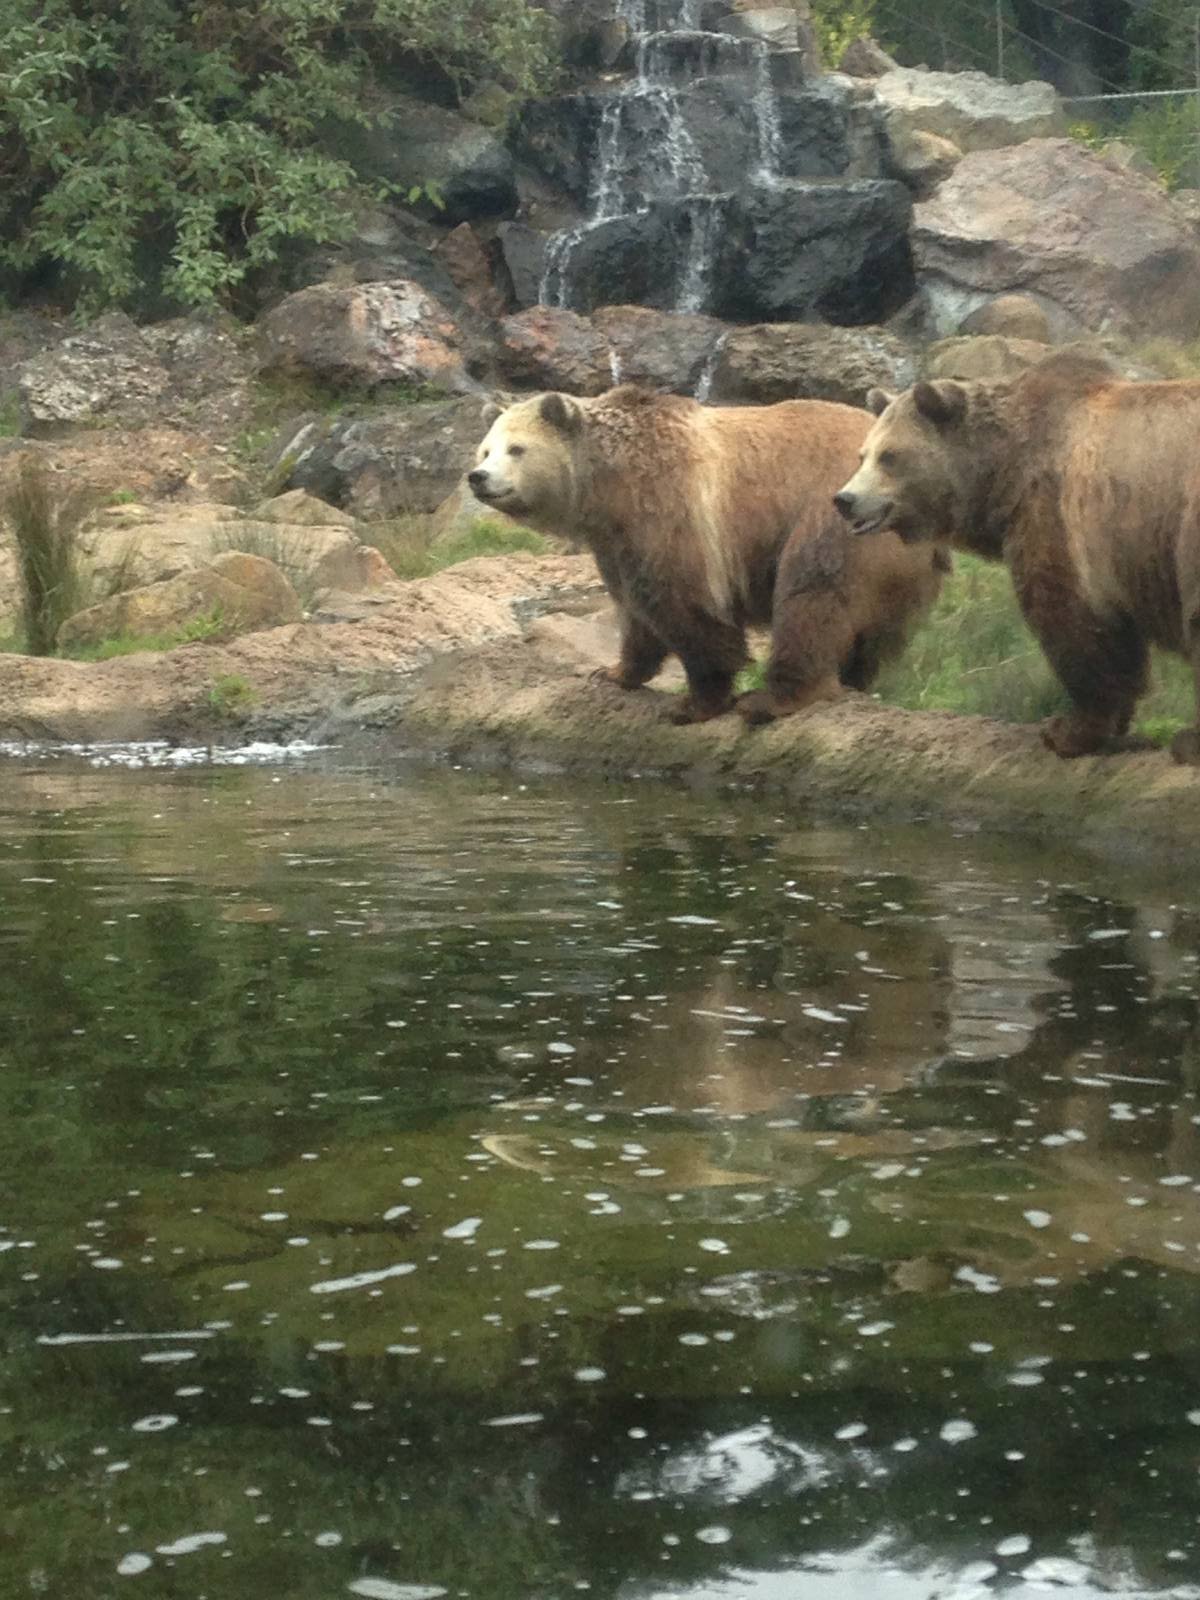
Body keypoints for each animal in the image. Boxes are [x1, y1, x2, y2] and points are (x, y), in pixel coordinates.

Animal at [468, 385, 948, 724]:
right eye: (485, 448)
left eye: (516, 449)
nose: (478, 477)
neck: (604, 486)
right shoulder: (616, 539)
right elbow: (633, 607)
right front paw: (615, 672)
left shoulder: (670, 506)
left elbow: (684, 603)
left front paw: (695, 702)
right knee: (873, 633)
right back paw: (852, 680)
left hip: (836, 516)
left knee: (813, 598)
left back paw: (774, 699)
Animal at [831, 350, 1200, 764]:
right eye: (863, 454)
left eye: (889, 456)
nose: (845, 499)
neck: (1003, 471)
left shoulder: (1057, 512)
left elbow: (1073, 620)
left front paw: (1067, 729)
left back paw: (1188, 741)